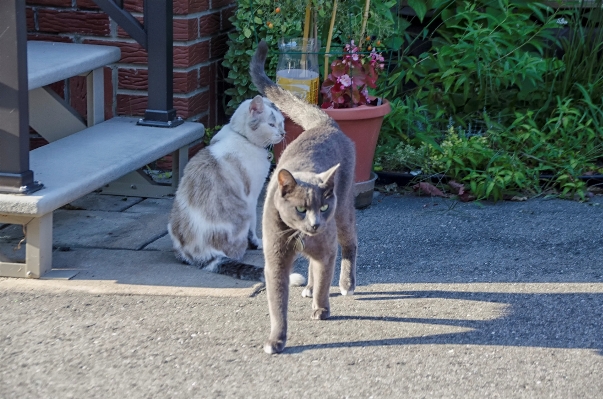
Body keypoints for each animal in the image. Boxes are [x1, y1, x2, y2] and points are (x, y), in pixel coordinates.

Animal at [168, 94, 286, 282]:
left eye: (282, 123)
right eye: (271, 124)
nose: (282, 133)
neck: (242, 138)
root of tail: (206, 256)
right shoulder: (252, 197)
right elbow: (253, 226)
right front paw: (257, 243)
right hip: (243, 212)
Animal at [250, 39, 358, 354]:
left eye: (323, 207)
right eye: (300, 209)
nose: (315, 224)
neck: (298, 236)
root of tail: (326, 124)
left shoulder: (327, 247)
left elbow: (324, 280)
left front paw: (321, 309)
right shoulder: (274, 259)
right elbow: (277, 302)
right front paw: (276, 339)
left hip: (343, 211)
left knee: (350, 243)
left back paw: (346, 284)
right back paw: (308, 287)